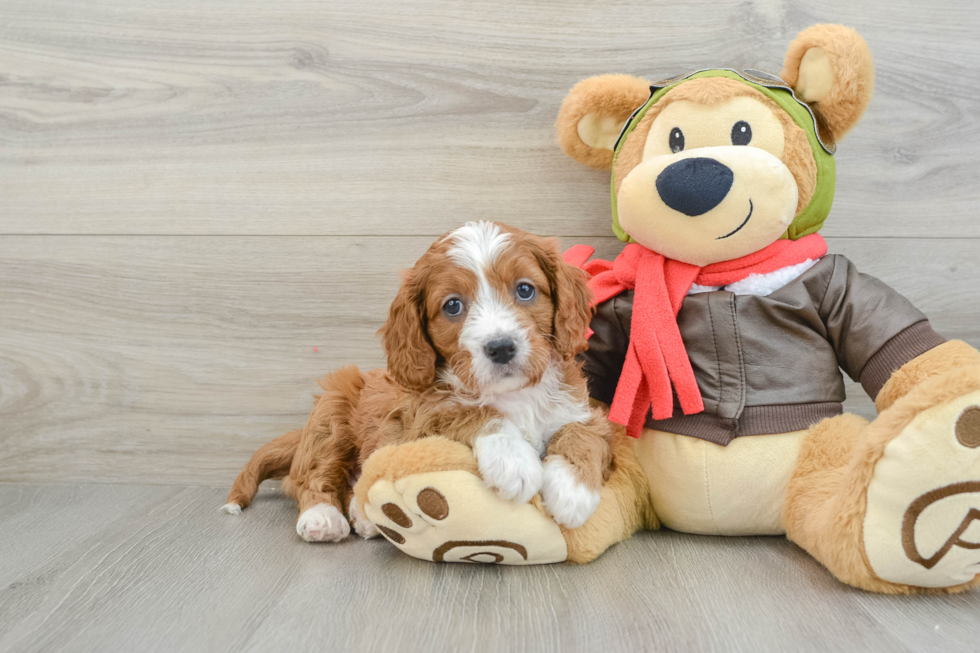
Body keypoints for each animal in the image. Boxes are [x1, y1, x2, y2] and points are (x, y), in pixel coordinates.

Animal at [227, 222, 616, 544]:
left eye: (524, 290)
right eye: (453, 306)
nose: (501, 347)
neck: (513, 395)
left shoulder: (583, 409)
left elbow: (582, 433)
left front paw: (572, 491)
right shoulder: (420, 420)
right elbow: (469, 412)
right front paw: (514, 462)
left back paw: (362, 517)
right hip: (333, 408)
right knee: (310, 476)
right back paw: (323, 518)